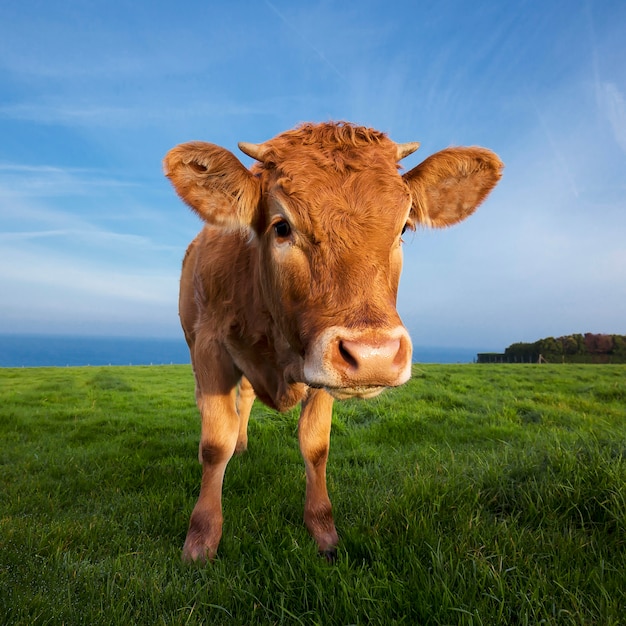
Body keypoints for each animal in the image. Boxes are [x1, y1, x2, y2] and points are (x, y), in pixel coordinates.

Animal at [162, 122, 502, 560]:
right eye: (282, 226)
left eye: (404, 228)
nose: (374, 355)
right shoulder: (209, 346)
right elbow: (214, 444)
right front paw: (201, 540)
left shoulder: (323, 368)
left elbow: (316, 445)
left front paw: (323, 531)